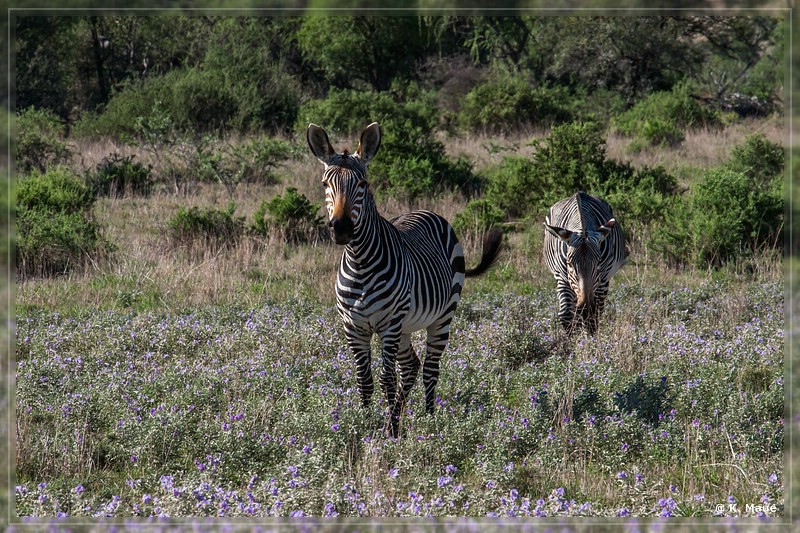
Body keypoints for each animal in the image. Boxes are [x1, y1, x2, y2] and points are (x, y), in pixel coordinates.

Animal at [306, 122, 500, 438]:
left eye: (363, 184)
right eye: (325, 184)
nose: (342, 229)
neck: (360, 261)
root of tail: (427, 211)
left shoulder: (389, 324)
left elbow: (386, 379)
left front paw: (391, 433)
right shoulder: (353, 327)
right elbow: (364, 379)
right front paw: (367, 424)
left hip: (439, 317)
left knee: (430, 368)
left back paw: (429, 420)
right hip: (406, 327)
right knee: (411, 366)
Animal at [540, 190, 628, 332]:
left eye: (598, 263)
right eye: (569, 263)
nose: (585, 306)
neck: (582, 228)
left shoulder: (601, 280)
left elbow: (592, 319)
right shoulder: (562, 277)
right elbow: (567, 316)